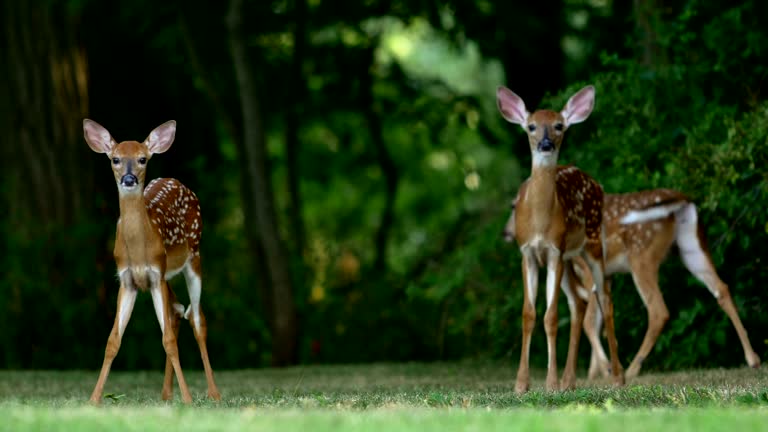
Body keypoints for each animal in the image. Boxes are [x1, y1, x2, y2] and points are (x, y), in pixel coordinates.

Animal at [85, 119, 222, 404]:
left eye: (142, 159)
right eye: (115, 159)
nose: (129, 179)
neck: (139, 249)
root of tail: (176, 181)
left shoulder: (156, 274)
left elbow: (167, 339)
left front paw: (188, 399)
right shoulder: (127, 279)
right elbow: (113, 340)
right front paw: (93, 399)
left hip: (194, 257)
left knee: (197, 318)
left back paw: (213, 392)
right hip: (167, 273)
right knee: (177, 310)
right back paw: (166, 393)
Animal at [496, 85, 628, 394]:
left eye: (558, 126)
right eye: (531, 126)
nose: (545, 144)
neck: (540, 222)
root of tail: (593, 181)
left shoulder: (554, 250)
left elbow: (551, 316)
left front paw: (550, 383)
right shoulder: (528, 253)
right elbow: (529, 314)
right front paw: (522, 384)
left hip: (592, 243)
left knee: (605, 301)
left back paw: (618, 377)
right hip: (571, 257)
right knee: (579, 304)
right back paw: (570, 381)